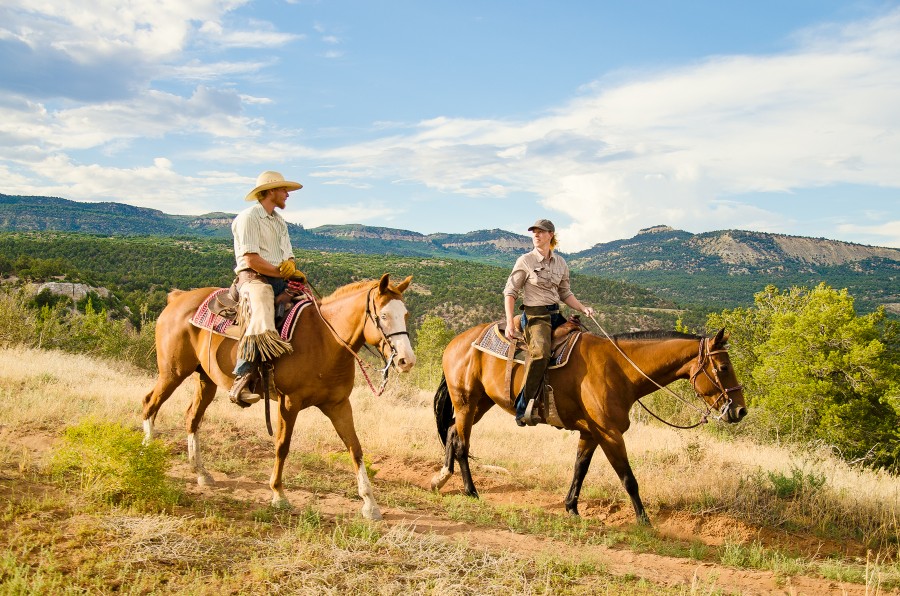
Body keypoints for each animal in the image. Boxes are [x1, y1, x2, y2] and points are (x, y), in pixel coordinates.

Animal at [142, 272, 416, 520]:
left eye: (405, 315)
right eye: (383, 316)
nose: (406, 360)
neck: (325, 341)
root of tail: (178, 297)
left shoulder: (338, 405)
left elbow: (355, 449)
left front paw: (370, 504)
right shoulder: (289, 402)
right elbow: (282, 445)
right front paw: (278, 494)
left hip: (205, 380)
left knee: (192, 417)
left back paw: (200, 472)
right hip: (172, 373)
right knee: (150, 404)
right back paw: (147, 454)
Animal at [428, 324, 744, 524]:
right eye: (724, 367)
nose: (740, 410)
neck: (620, 369)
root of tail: (456, 341)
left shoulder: (591, 433)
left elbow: (580, 469)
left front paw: (572, 508)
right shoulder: (610, 434)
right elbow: (629, 479)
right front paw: (644, 521)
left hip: (480, 403)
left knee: (452, 432)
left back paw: (441, 478)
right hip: (466, 400)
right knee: (462, 443)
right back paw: (470, 490)